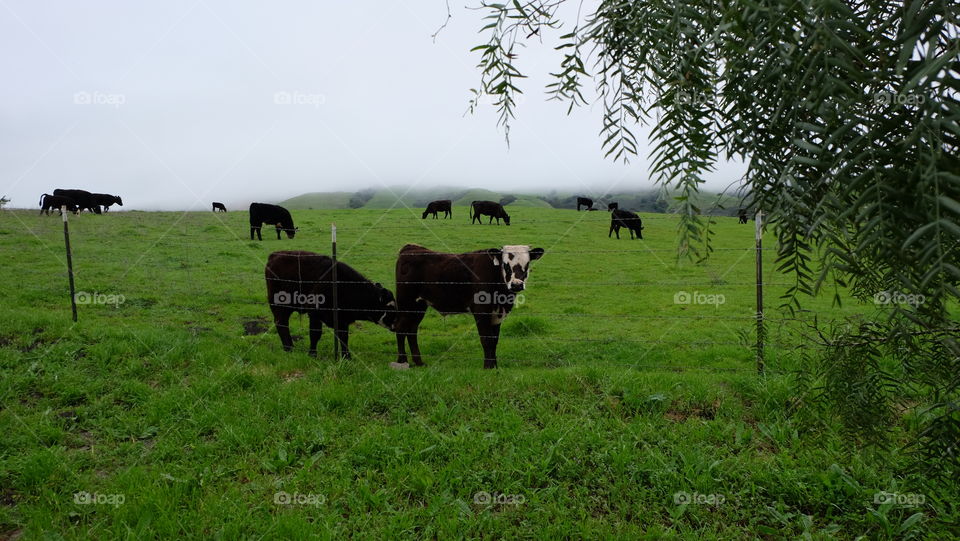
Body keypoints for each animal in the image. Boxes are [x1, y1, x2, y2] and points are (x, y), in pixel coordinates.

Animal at [264, 250, 396, 358]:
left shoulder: (342, 320)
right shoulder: (315, 314)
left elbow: (343, 337)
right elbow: (315, 334)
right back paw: (289, 348)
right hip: (279, 305)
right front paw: (312, 354)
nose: (396, 325)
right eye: (389, 307)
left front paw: (346, 357)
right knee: (281, 323)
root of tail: (274, 255)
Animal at [392, 243, 544, 370]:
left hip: (418, 306)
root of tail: (411, 247)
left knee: (411, 330)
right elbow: (486, 340)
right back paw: (402, 361)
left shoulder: (497, 314)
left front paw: (495, 366)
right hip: (406, 302)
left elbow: (494, 340)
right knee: (400, 328)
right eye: (505, 265)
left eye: (527, 264)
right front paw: (488, 367)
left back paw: (419, 362)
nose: (517, 285)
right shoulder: (481, 312)